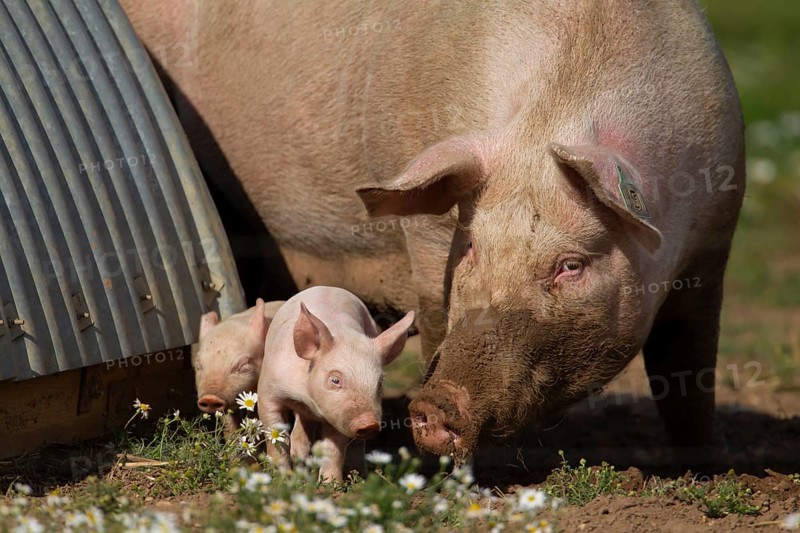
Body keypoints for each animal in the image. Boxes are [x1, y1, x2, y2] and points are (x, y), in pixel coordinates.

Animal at [257, 286, 414, 481]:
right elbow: (276, 437)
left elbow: (333, 448)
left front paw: (330, 484)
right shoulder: (267, 391)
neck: (310, 401)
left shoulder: (337, 415)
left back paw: (359, 478)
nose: (369, 423)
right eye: (335, 379)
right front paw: (280, 479)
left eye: (380, 382)